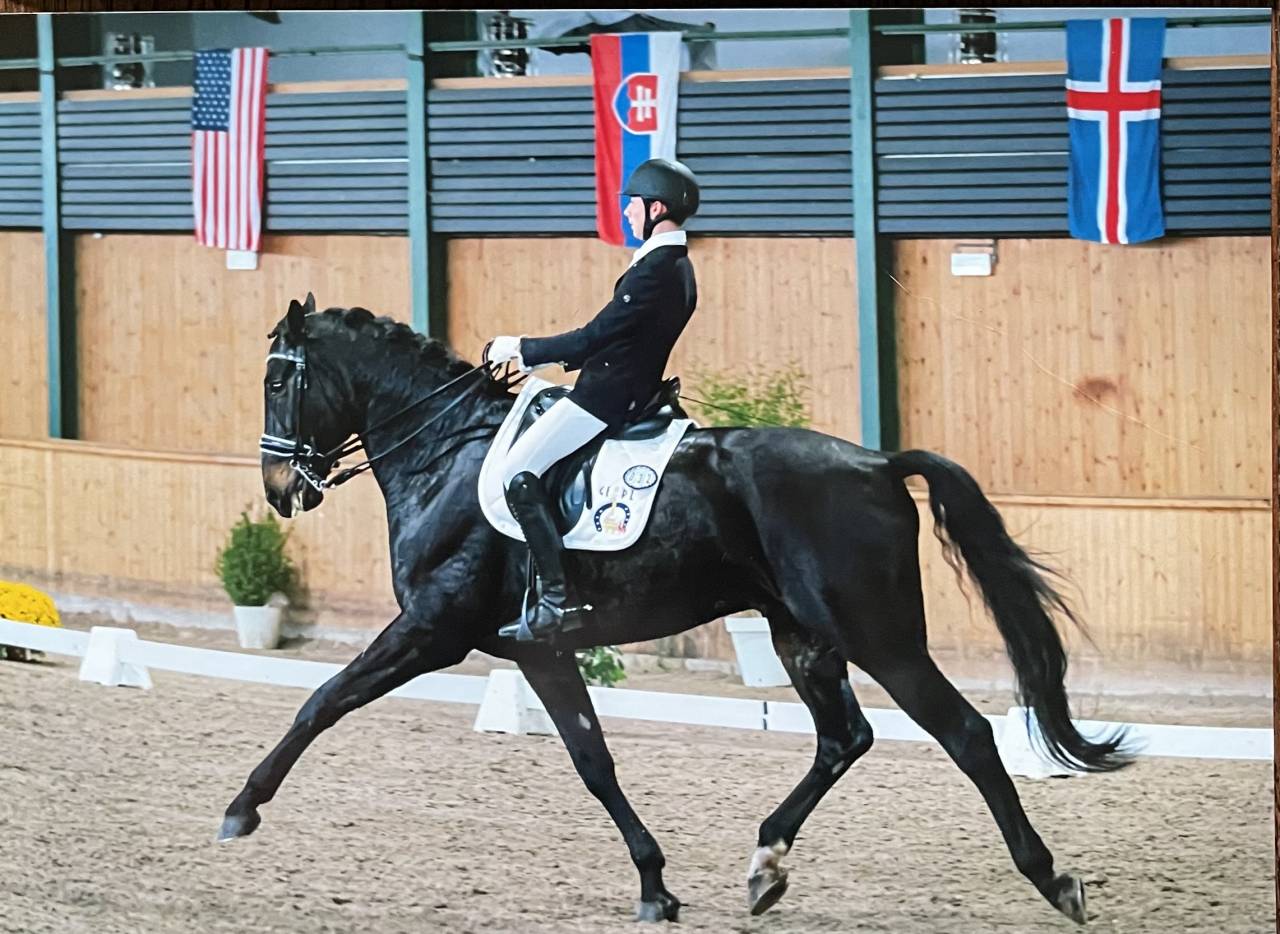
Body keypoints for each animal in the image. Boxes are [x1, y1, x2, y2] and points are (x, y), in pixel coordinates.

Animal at [220, 294, 1129, 925]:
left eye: (277, 378)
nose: (279, 488)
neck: (446, 456)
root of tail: (875, 462)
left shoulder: (433, 630)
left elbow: (321, 701)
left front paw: (241, 809)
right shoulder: (540, 650)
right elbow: (594, 762)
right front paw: (656, 886)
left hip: (877, 633)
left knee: (966, 733)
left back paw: (1053, 879)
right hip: (801, 634)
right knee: (845, 737)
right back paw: (765, 866)